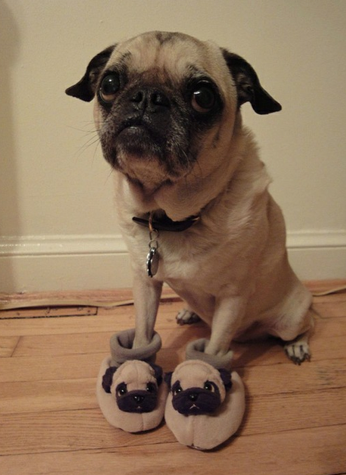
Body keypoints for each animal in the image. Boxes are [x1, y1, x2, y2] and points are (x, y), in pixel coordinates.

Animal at [66, 32, 314, 368]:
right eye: (109, 84)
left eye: (203, 96)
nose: (148, 96)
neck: (170, 217)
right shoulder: (145, 284)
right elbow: (143, 334)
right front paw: (138, 366)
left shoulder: (232, 298)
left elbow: (212, 352)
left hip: (291, 316)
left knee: (303, 326)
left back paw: (297, 345)